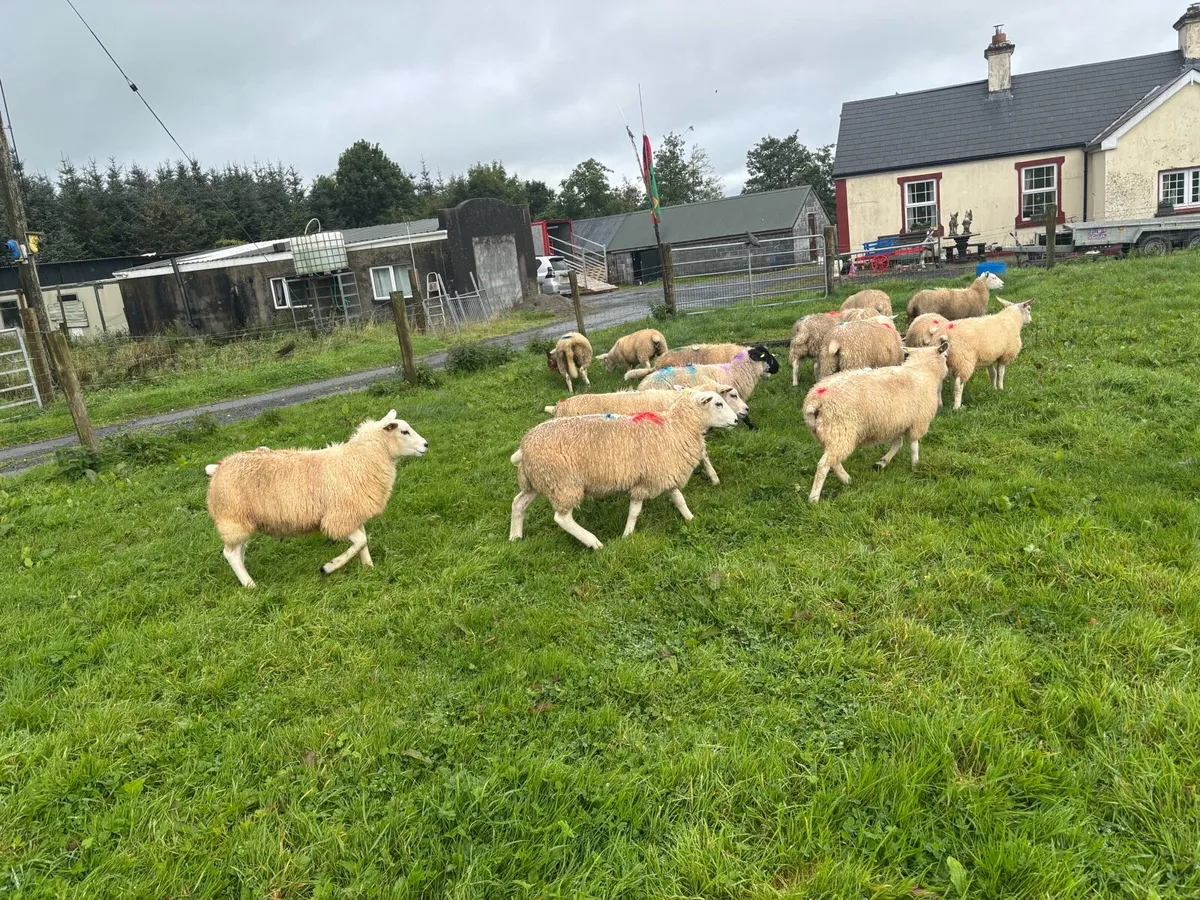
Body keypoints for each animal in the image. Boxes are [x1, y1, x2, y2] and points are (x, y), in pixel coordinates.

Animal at [204, 409, 428, 587]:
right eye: (404, 431)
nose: (426, 444)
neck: (359, 461)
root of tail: (219, 467)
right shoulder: (338, 518)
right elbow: (361, 540)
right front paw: (329, 567)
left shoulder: (353, 514)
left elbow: (363, 542)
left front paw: (369, 568)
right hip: (232, 518)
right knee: (231, 554)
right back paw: (251, 585)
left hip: (242, 521)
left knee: (238, 552)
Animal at [509, 390, 739, 548]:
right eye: (718, 403)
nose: (737, 420)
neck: (675, 428)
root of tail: (524, 446)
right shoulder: (647, 480)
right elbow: (635, 511)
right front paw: (627, 535)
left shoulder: (662, 473)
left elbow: (678, 499)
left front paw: (690, 519)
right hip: (563, 483)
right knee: (562, 518)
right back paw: (594, 542)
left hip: (538, 481)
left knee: (518, 503)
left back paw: (515, 537)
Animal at [803, 338, 950, 502]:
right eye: (945, 356)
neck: (923, 371)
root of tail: (815, 400)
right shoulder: (918, 421)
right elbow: (913, 446)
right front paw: (915, 465)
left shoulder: (899, 421)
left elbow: (897, 443)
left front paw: (882, 462)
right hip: (841, 430)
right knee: (824, 465)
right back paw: (814, 498)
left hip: (827, 434)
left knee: (833, 461)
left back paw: (846, 479)